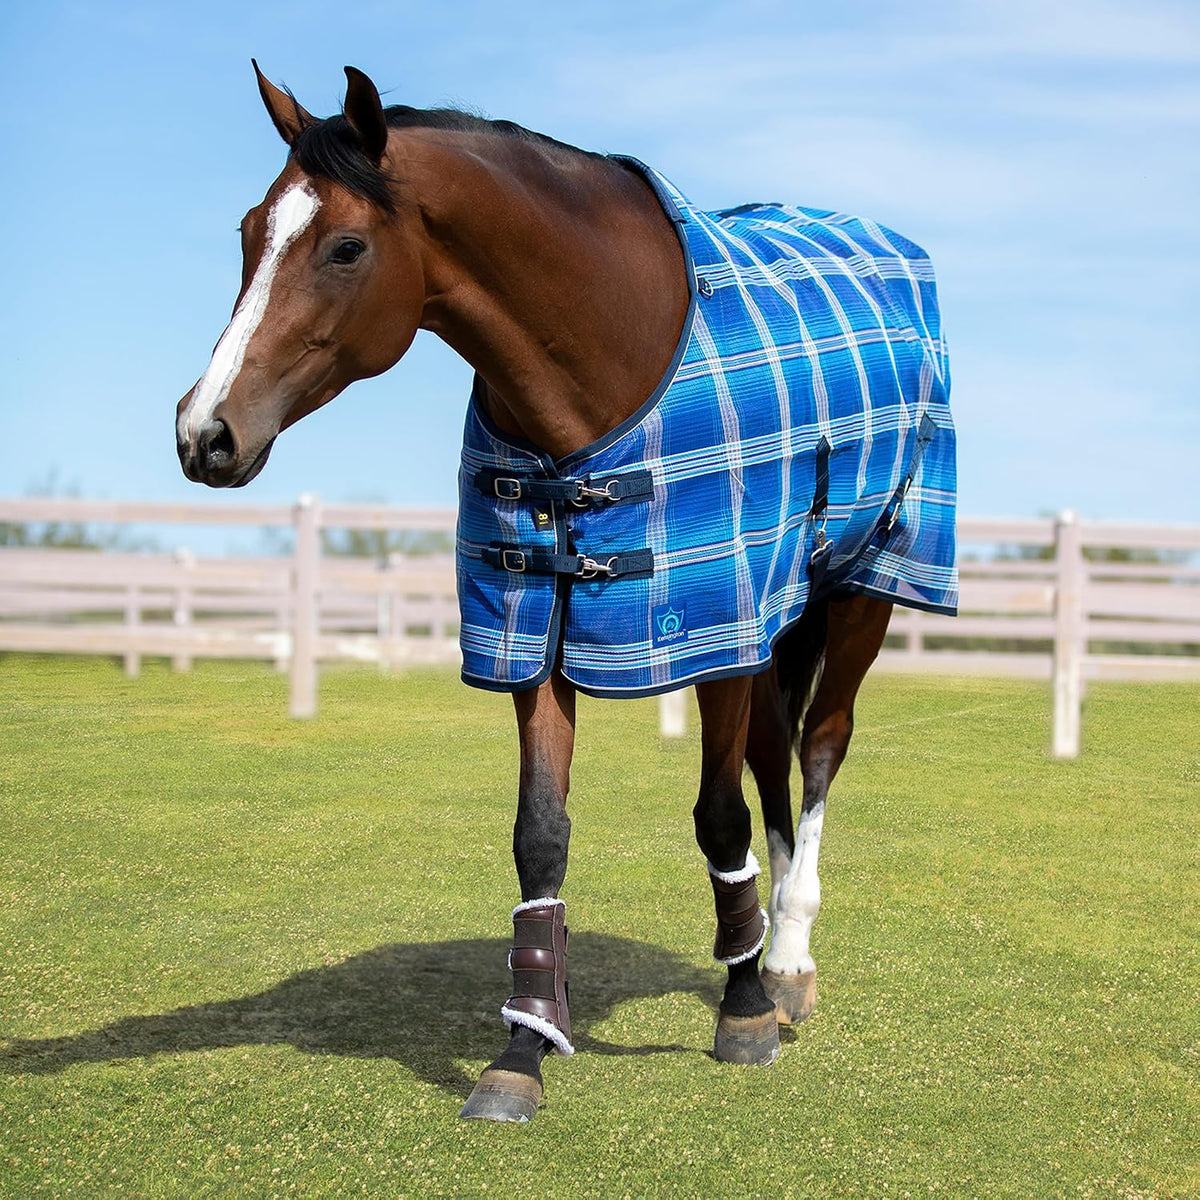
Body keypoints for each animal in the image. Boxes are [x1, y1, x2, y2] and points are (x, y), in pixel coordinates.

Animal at [175, 63, 957, 1123]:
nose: (204, 431)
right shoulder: (534, 622)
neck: (606, 349)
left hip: (862, 585)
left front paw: (745, 1010)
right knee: (775, 755)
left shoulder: (710, 619)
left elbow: (719, 815)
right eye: (250, 231)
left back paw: (787, 959)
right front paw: (525, 1045)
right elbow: (540, 836)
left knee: (821, 747)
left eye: (345, 246)